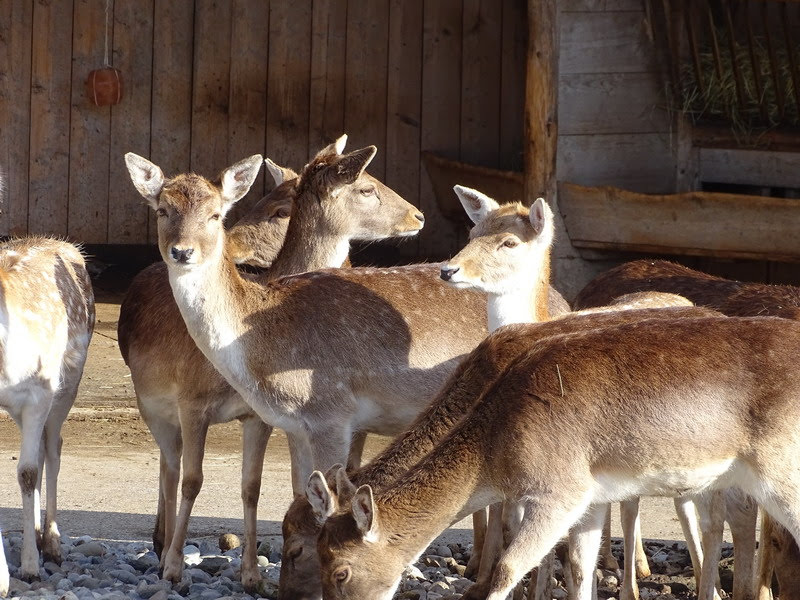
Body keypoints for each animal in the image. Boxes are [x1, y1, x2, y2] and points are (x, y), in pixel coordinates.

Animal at [0, 233, 97, 592]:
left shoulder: (39, 393)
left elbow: (26, 473)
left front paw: (29, 568)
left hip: (67, 384)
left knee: (53, 448)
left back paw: (52, 543)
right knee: (42, 449)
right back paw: (40, 534)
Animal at [118, 135, 428, 584]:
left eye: (282, 209)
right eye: (162, 210)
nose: (417, 215)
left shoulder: (259, 414)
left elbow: (254, 487)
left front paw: (251, 574)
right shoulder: (192, 400)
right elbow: (193, 480)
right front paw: (175, 568)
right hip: (152, 403)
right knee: (171, 467)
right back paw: (161, 549)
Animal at [312, 314, 800, 600]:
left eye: (340, 572)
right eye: (315, 551)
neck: (496, 448)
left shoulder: (559, 491)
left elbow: (508, 567)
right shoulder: (590, 495)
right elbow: (580, 567)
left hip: (780, 472)